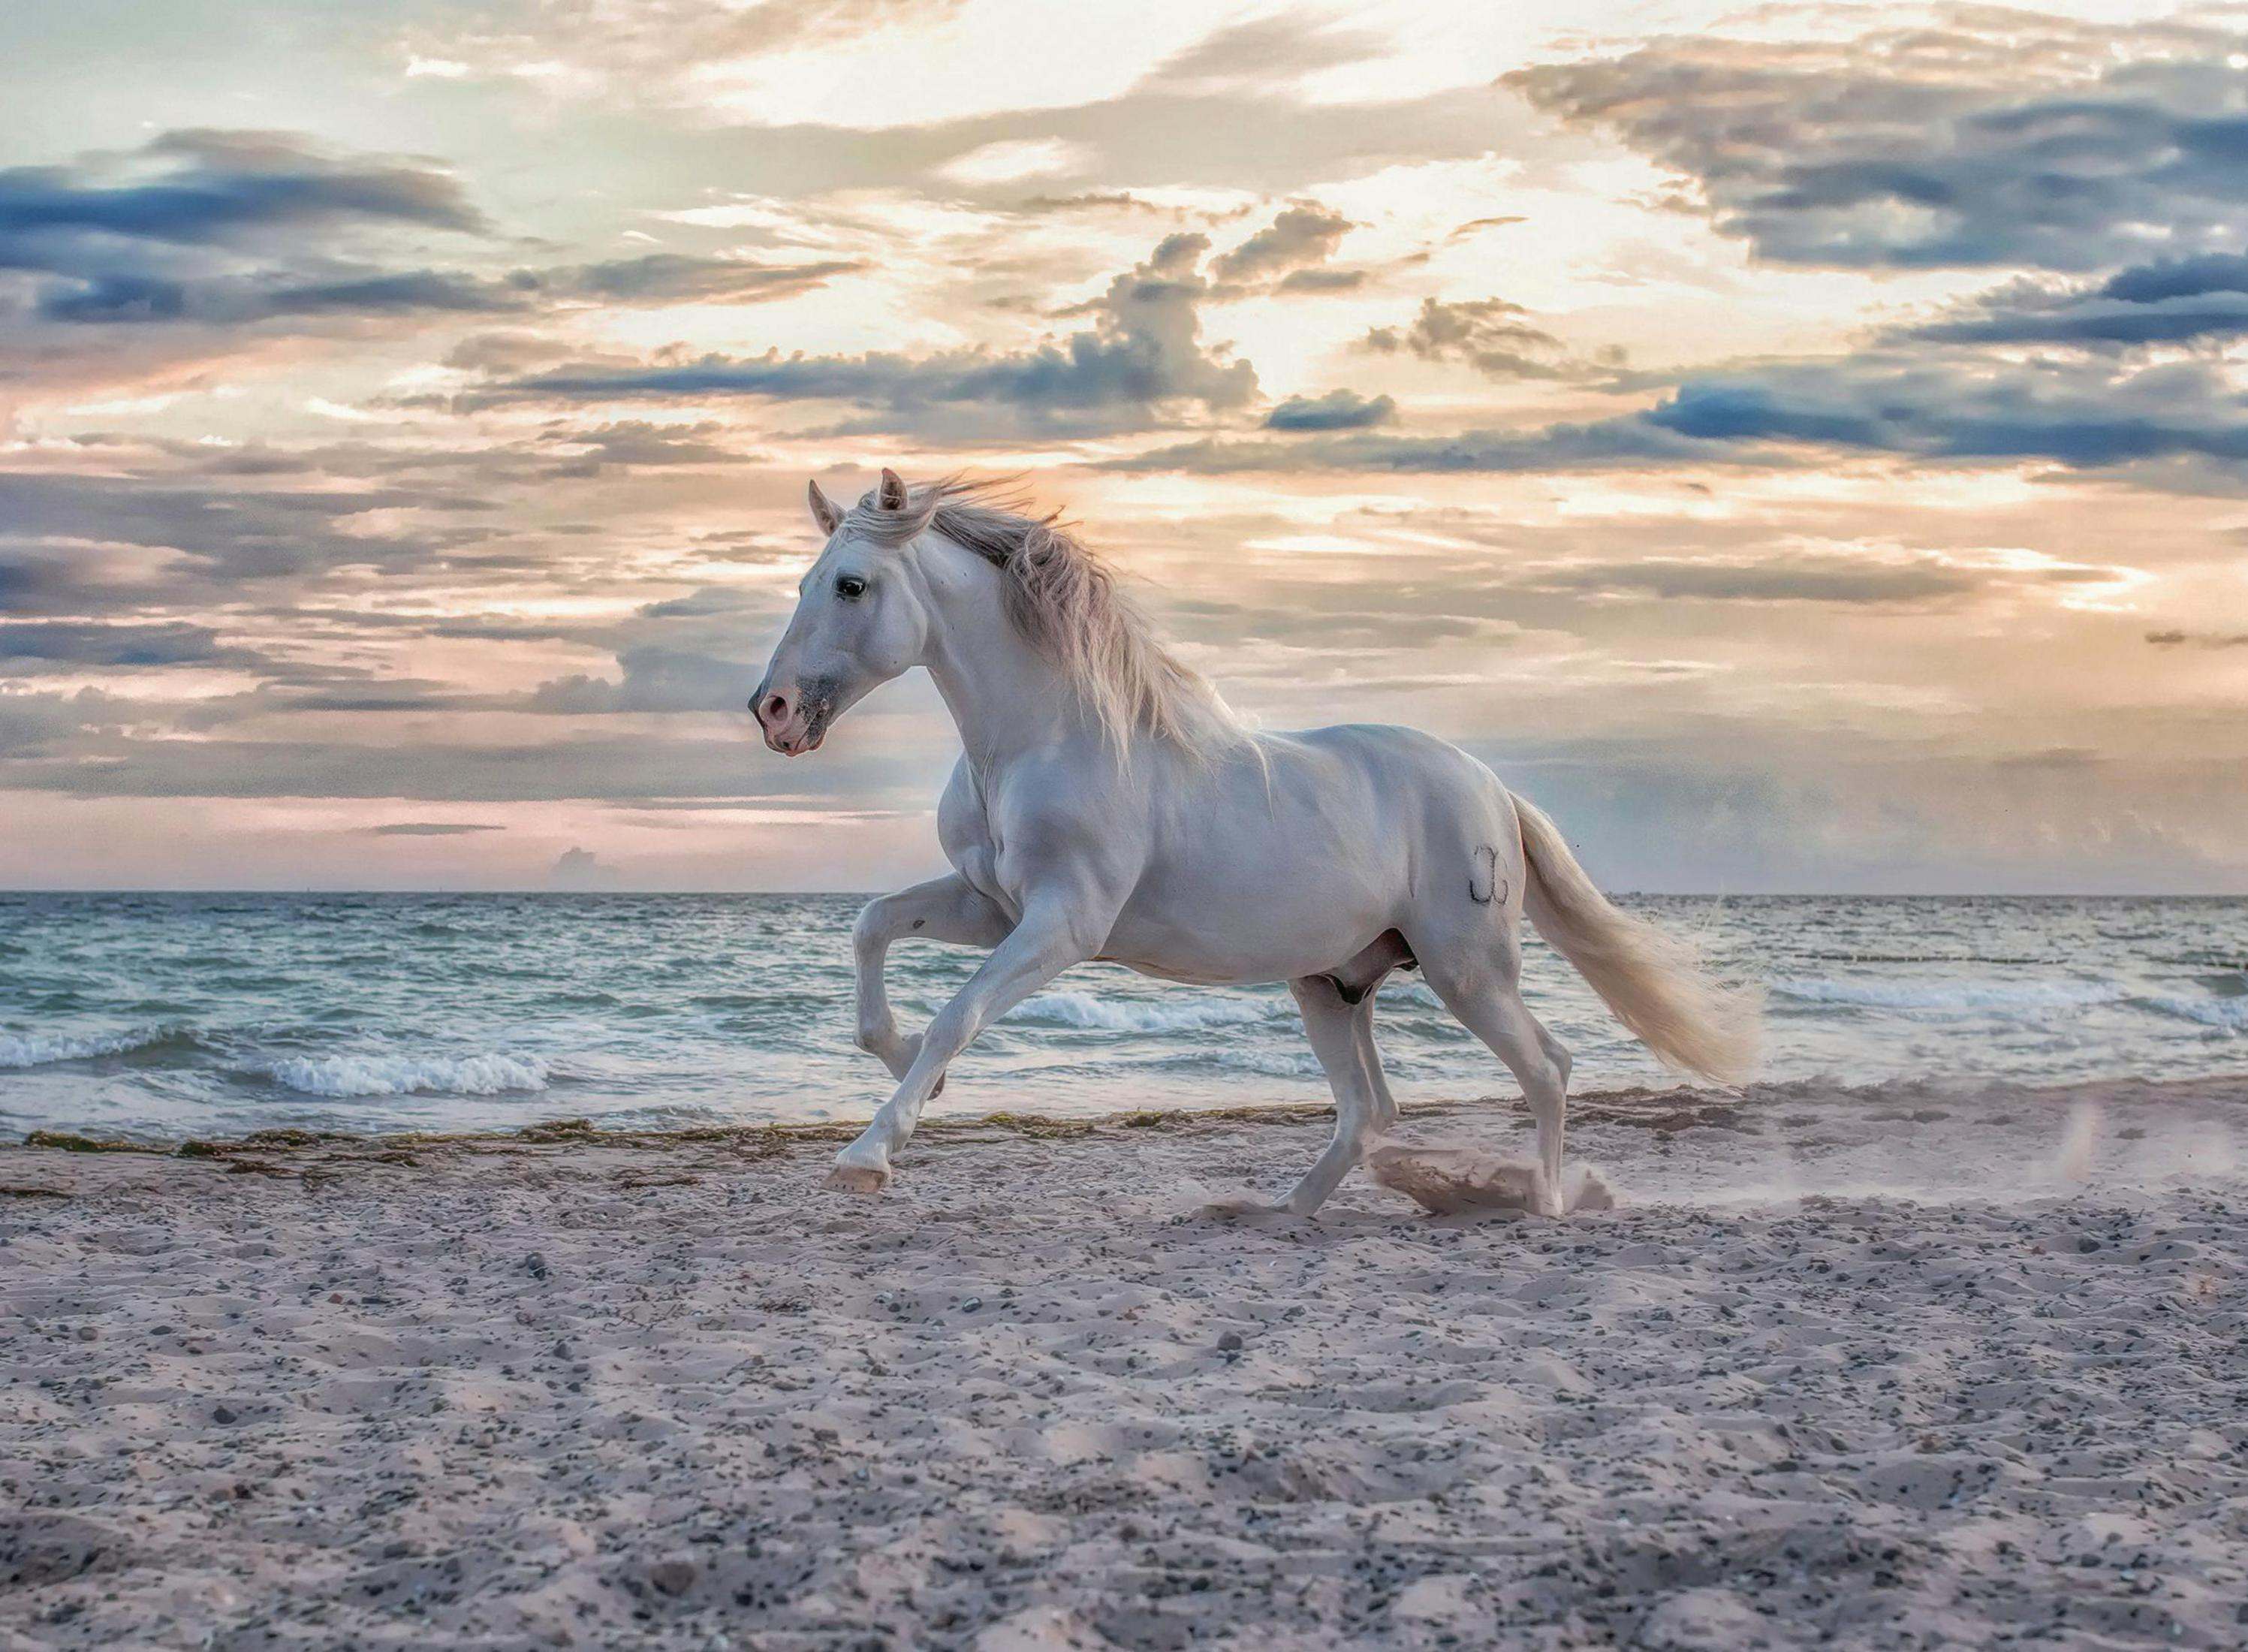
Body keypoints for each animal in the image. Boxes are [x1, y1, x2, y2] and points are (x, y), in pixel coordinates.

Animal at [751, 470, 1761, 1217]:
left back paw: (1543, 1206)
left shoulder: (1064, 924)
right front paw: (905, 1070)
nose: (774, 711)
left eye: (851, 585)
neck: (1042, 739)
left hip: (1466, 969)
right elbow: (873, 930)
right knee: (1370, 1110)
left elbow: (959, 1014)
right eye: (802, 583)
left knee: (1545, 1069)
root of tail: (1491, 789)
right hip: (1332, 983)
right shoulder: (990, 904)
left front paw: (870, 1153)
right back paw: (1282, 1211)